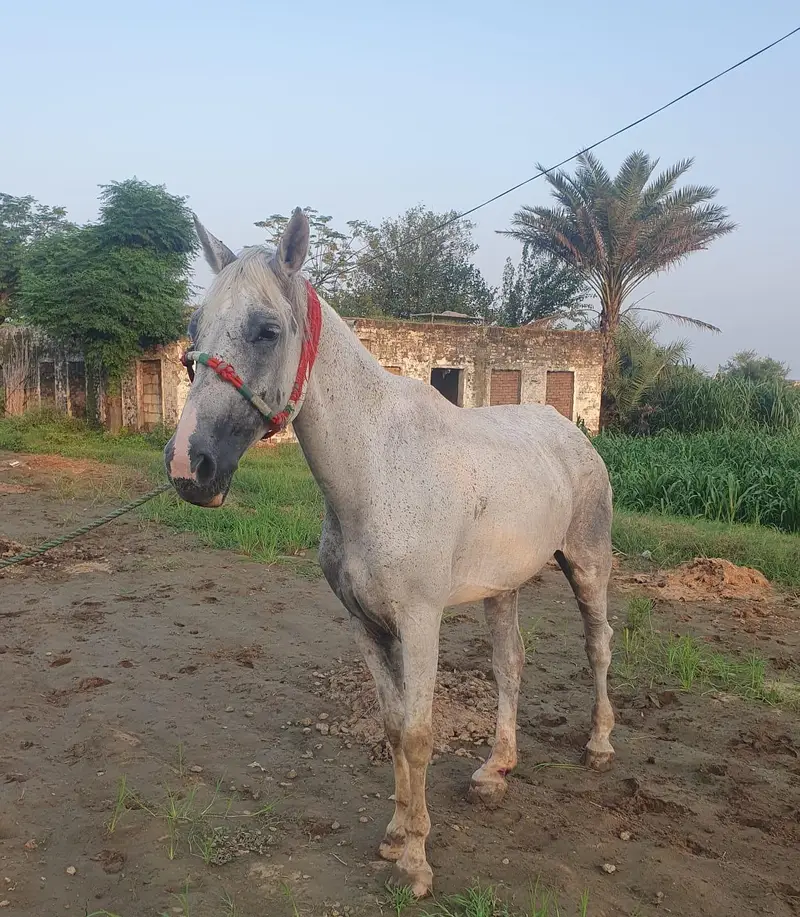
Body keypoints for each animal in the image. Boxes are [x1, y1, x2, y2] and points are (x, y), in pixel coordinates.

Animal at [165, 208, 616, 898]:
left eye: (268, 330)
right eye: (194, 330)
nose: (191, 467)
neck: (374, 471)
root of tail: (573, 432)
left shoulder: (420, 621)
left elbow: (419, 732)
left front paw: (416, 862)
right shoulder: (366, 624)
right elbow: (392, 726)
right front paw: (395, 834)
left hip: (587, 566)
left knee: (598, 645)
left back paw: (598, 746)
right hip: (502, 589)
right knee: (509, 666)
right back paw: (495, 770)